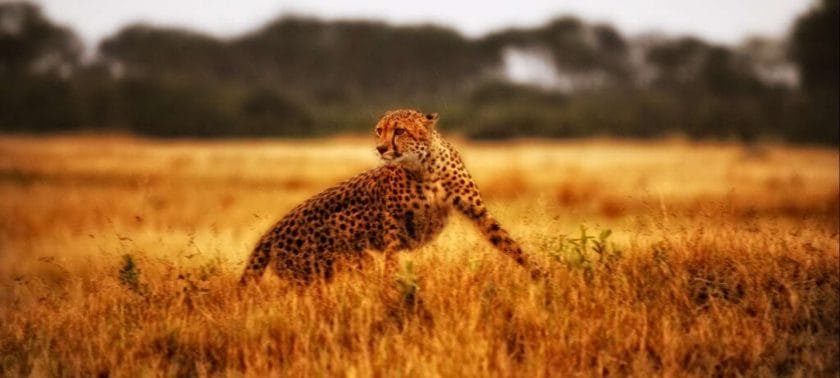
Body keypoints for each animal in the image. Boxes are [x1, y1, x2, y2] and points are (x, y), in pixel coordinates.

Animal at [240, 108, 540, 284]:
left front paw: (542, 276)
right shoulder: (392, 222)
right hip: (333, 265)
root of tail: (271, 232)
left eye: (400, 131)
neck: (425, 166)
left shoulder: (477, 211)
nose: (381, 148)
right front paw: (394, 289)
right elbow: (393, 257)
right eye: (379, 130)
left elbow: (509, 243)